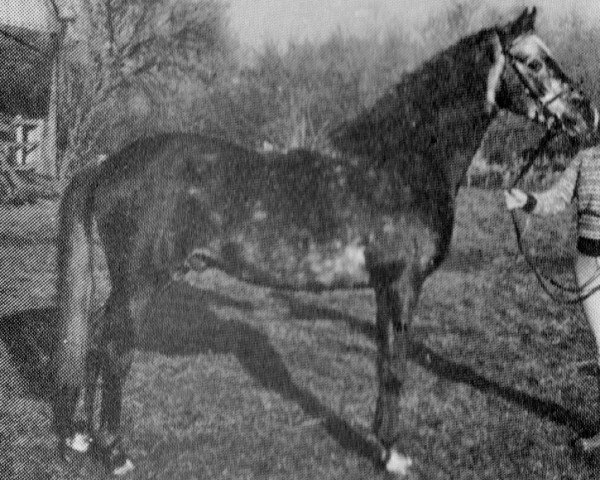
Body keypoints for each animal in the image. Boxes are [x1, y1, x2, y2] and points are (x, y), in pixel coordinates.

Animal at [52, 7, 600, 476]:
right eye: (533, 61)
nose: (586, 115)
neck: (399, 161)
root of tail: (108, 164)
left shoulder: (384, 287)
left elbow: (385, 360)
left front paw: (383, 444)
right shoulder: (401, 284)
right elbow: (395, 366)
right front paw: (393, 455)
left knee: (98, 340)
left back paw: (83, 437)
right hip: (140, 282)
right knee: (115, 348)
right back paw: (116, 452)